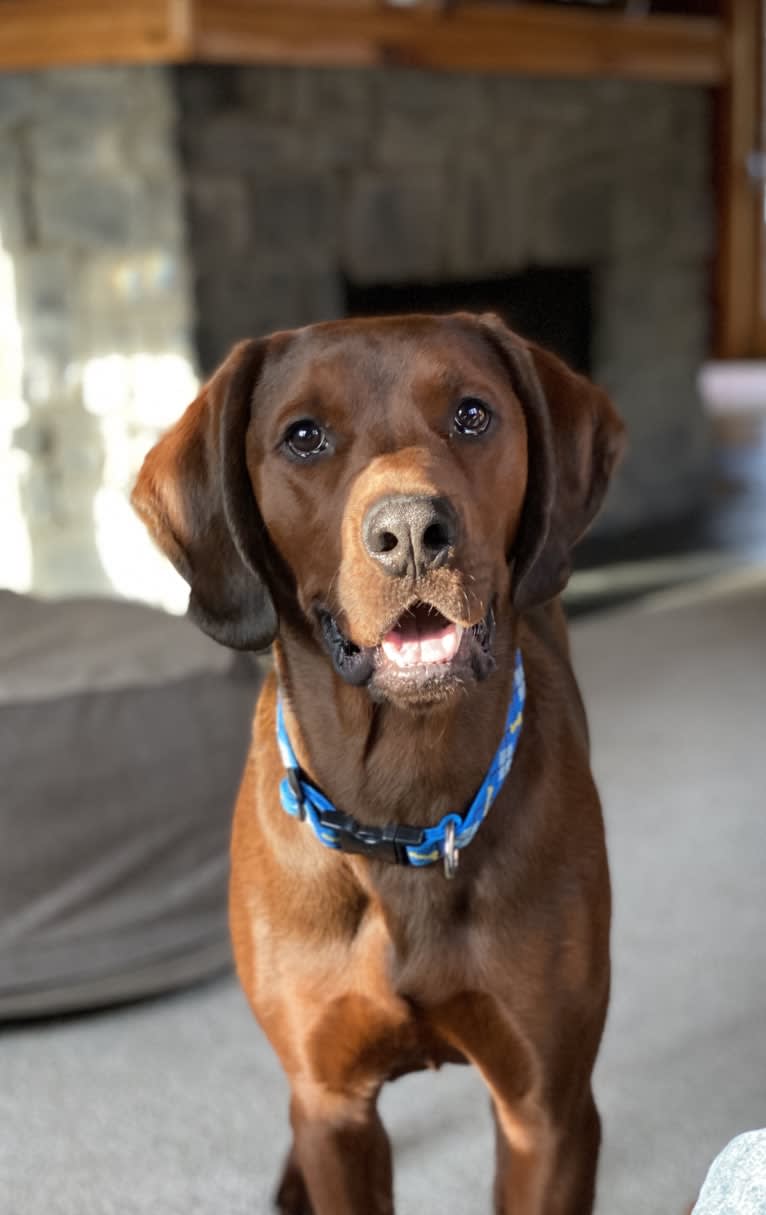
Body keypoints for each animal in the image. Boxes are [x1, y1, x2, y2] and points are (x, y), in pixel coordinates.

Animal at [131, 315, 622, 1215]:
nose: (412, 535)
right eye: (304, 436)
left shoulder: (548, 1111)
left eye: (472, 414)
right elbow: (321, 1113)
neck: (403, 809)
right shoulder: (336, 1107)